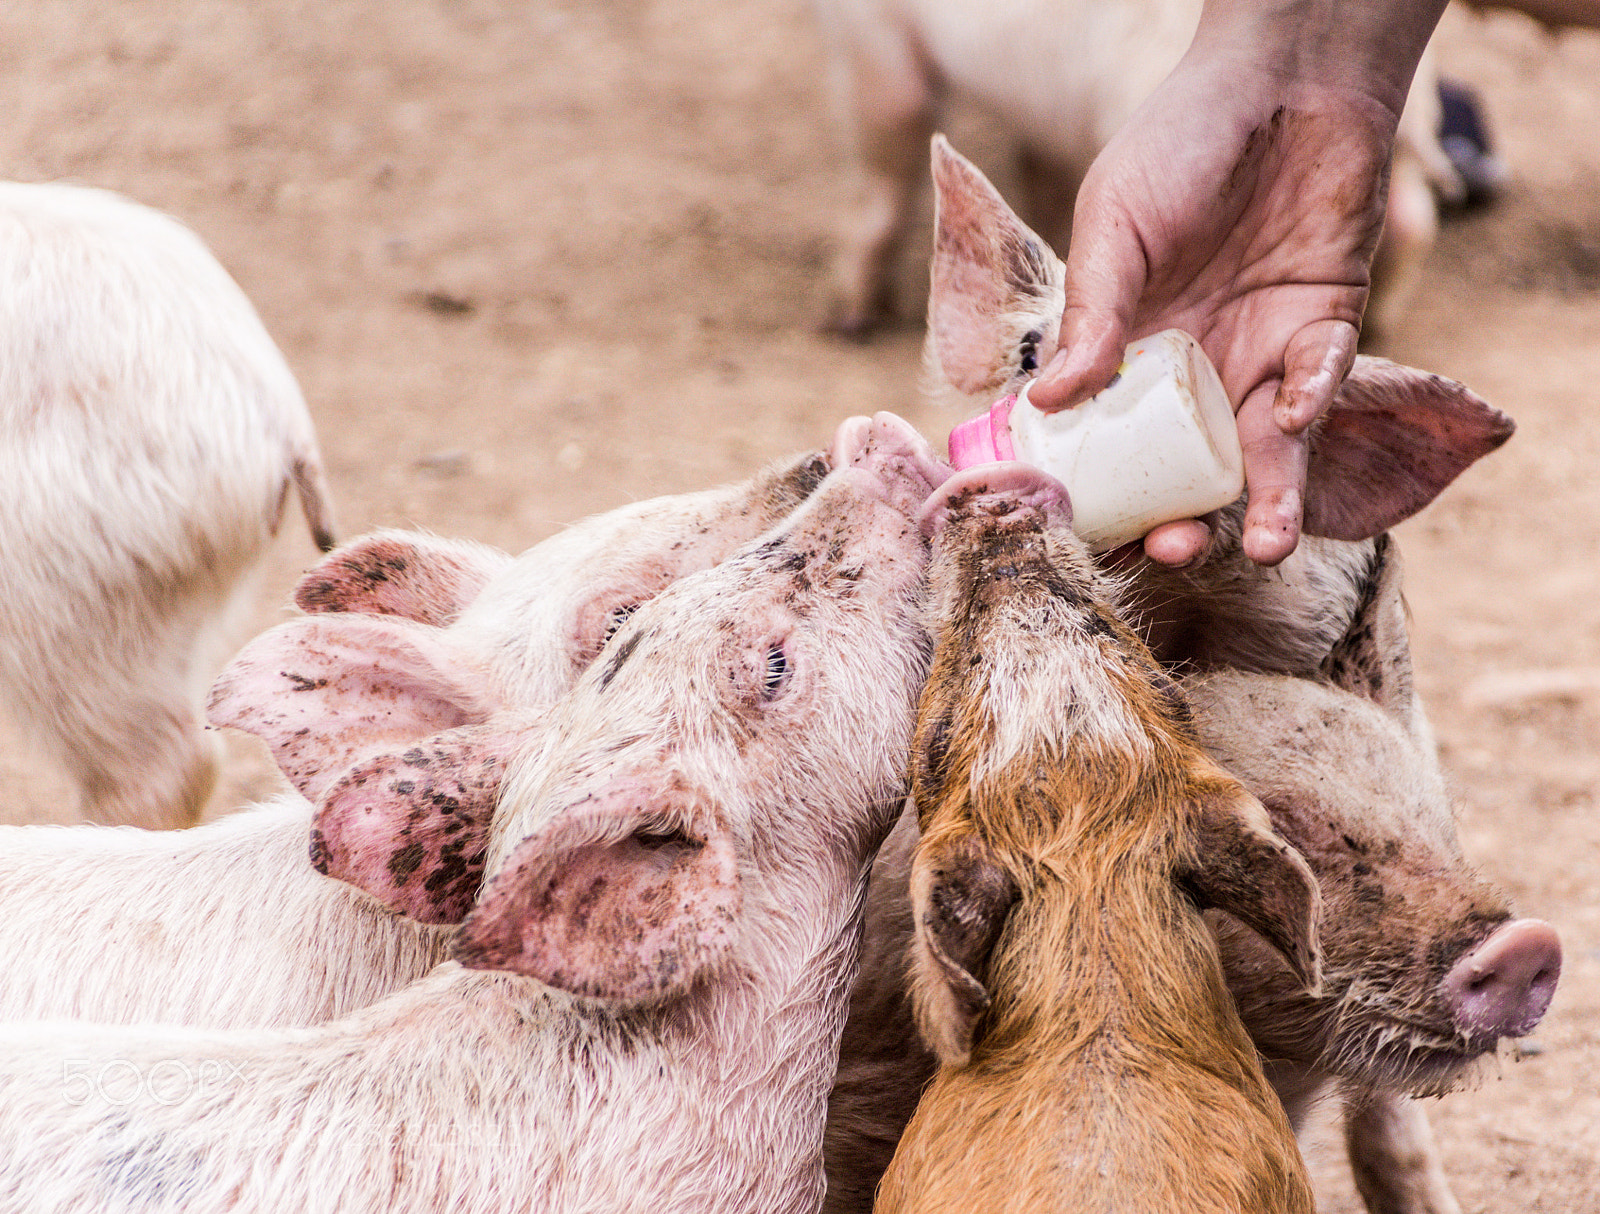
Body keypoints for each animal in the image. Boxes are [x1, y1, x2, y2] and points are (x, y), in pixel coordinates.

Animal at [813, 0, 1460, 337]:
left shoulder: (874, 39)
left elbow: (882, 178)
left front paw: (848, 317)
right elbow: (1038, 173)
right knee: (1412, 223)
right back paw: (1378, 327)